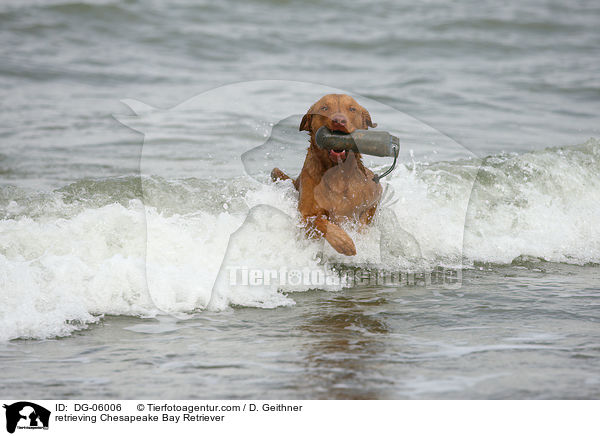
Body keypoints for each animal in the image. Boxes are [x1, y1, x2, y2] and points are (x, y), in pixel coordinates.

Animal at [270, 93, 382, 254]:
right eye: (324, 108)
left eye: (352, 109)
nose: (339, 121)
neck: (337, 173)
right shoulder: (304, 215)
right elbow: (318, 220)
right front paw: (343, 241)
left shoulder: (375, 195)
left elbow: (363, 220)